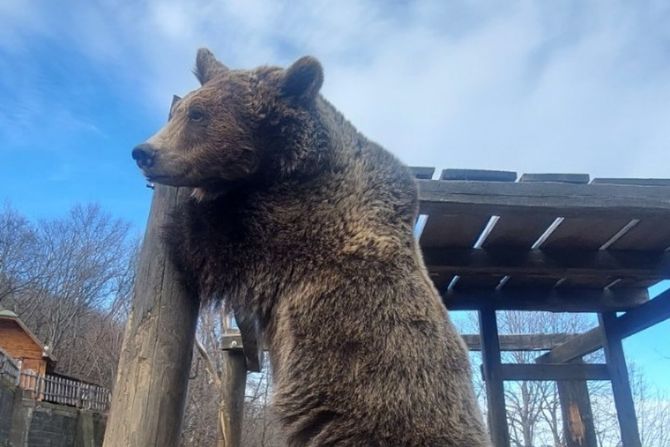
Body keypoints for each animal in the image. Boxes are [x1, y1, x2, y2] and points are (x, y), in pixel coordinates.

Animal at [133, 49, 488, 447]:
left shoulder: (296, 229)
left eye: (197, 114)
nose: (144, 152)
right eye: (181, 111)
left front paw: (183, 213)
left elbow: (211, 246)